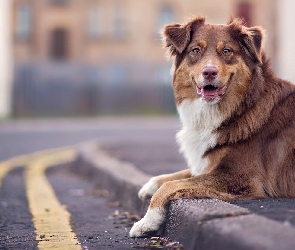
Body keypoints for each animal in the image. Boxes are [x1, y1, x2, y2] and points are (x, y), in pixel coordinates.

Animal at [131, 16, 295, 237]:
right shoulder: (208, 166)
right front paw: (148, 186)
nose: (209, 72)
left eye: (226, 51)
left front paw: (147, 220)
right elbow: (176, 176)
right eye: (195, 50)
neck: (242, 107)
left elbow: (171, 185)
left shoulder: (240, 178)